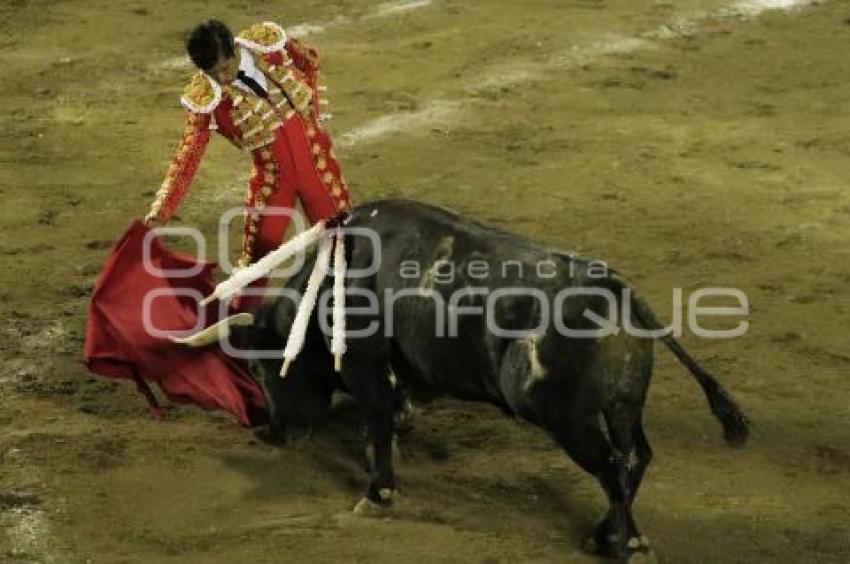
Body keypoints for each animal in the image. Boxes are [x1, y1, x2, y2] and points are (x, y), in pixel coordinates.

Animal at [200, 199, 748, 560]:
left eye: (257, 367)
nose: (271, 430)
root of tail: (616, 289)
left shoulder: (365, 363)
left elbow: (376, 417)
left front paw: (377, 494)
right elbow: (388, 419)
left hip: (566, 417)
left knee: (612, 466)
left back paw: (628, 543)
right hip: (621, 406)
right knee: (635, 456)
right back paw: (604, 534)